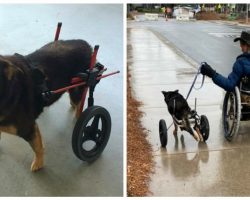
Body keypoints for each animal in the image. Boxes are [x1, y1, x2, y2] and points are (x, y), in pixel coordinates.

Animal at [0, 39, 97, 172]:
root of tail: (86, 44)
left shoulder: (29, 128)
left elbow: (38, 148)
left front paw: (39, 163)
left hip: (78, 87)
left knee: (80, 105)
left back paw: (79, 117)